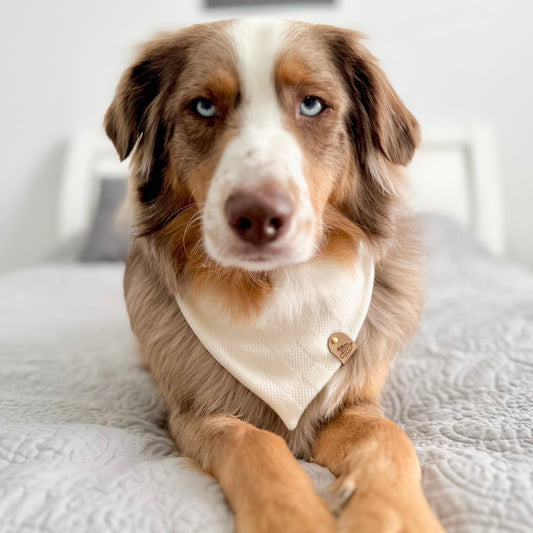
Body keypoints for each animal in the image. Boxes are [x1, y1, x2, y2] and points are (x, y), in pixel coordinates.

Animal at [104, 17, 444, 532]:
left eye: (312, 104)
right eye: (204, 106)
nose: (258, 216)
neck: (277, 293)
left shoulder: (355, 402)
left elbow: (388, 435)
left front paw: (395, 515)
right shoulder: (193, 415)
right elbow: (253, 442)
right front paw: (294, 516)